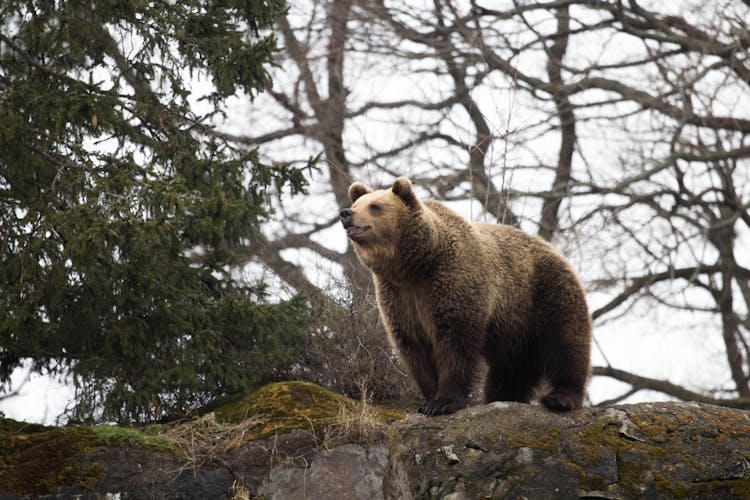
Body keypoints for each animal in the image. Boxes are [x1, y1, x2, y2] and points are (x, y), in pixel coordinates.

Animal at [340, 176, 592, 414]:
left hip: (543, 292)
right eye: (357, 203)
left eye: (375, 206)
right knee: (510, 369)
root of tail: (553, 248)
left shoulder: (451, 282)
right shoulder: (399, 298)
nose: (346, 214)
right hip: (514, 330)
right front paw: (428, 400)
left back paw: (560, 398)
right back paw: (501, 398)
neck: (414, 265)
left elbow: (455, 341)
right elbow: (414, 349)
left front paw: (443, 402)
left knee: (566, 341)